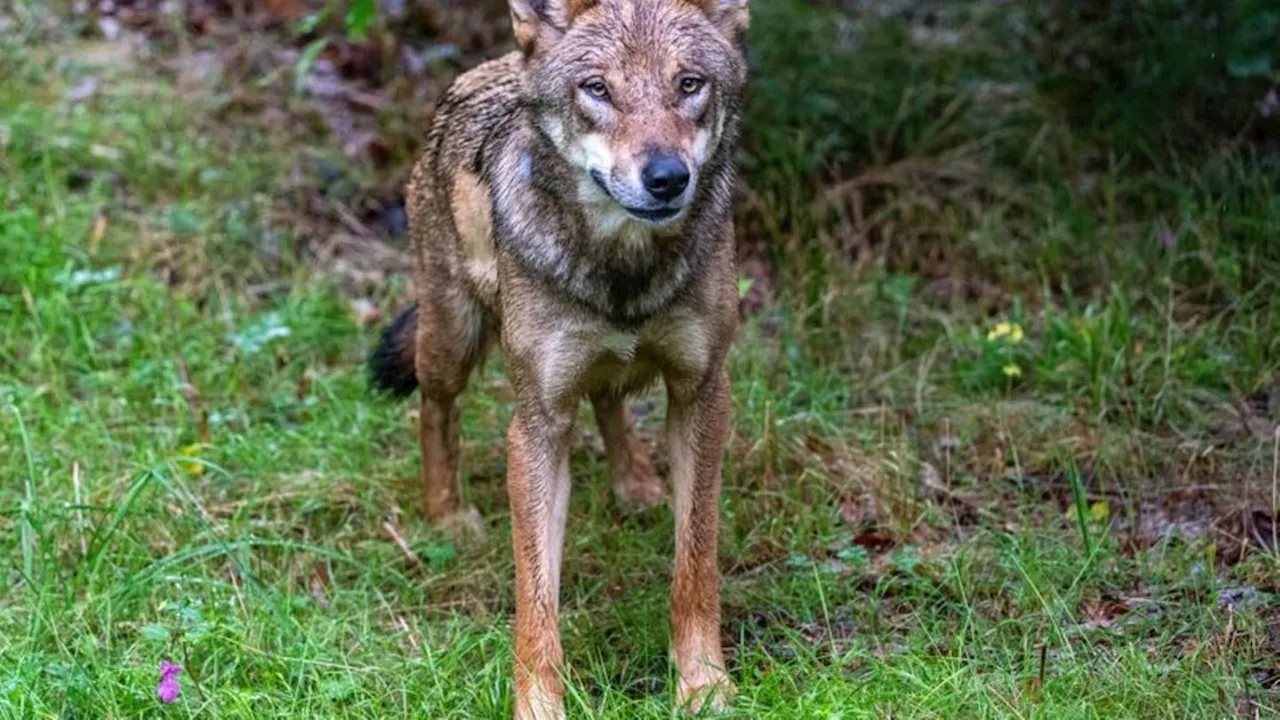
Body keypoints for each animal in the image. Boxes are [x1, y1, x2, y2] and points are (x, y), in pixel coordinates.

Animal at [366, 1, 747, 712]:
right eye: (597, 90)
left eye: (689, 85)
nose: (666, 177)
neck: (622, 272)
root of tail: (488, 69)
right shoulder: (536, 426)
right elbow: (535, 599)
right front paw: (539, 706)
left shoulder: (703, 393)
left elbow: (695, 566)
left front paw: (703, 686)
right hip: (451, 340)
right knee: (434, 409)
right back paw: (447, 517)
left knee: (607, 397)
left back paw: (636, 485)